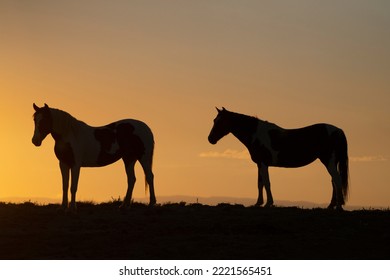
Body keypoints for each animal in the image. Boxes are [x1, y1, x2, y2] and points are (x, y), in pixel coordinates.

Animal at [209, 107, 348, 210]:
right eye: (215, 120)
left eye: (219, 121)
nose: (210, 139)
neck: (257, 135)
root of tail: (338, 130)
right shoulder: (259, 164)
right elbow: (260, 183)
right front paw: (258, 203)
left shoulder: (263, 163)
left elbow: (267, 183)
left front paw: (268, 203)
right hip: (330, 162)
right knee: (333, 181)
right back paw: (331, 206)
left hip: (329, 161)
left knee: (337, 179)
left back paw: (339, 206)